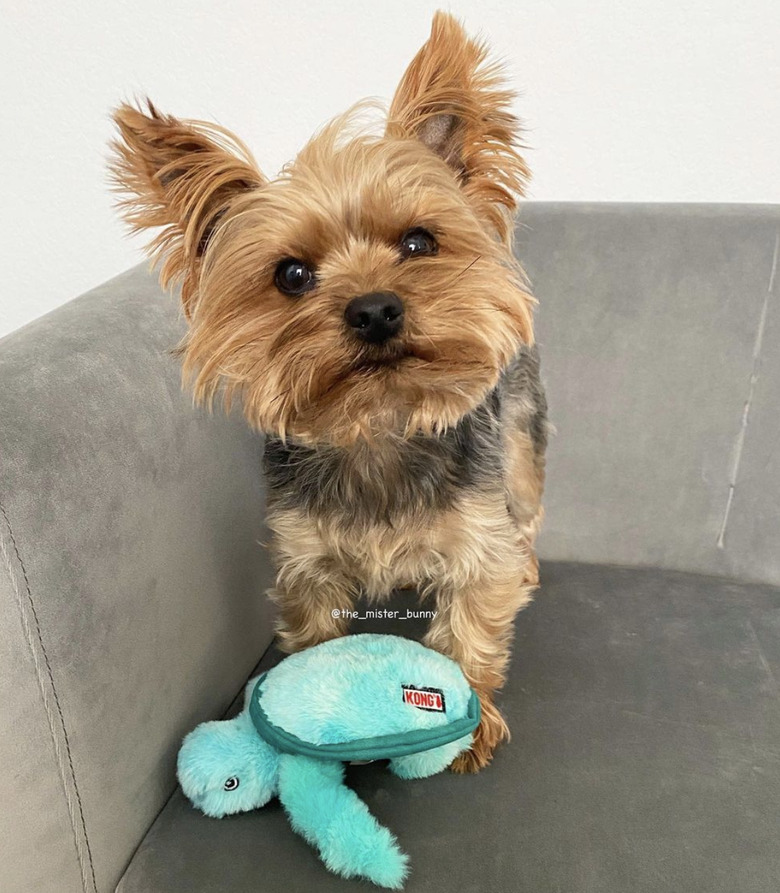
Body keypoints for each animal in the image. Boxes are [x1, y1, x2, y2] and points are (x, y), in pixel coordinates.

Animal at [109, 10, 548, 772]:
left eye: (417, 242)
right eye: (290, 274)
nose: (374, 309)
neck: (375, 428)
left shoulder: (476, 541)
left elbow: (472, 623)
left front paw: (470, 725)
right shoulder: (303, 558)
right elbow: (314, 634)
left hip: (519, 448)